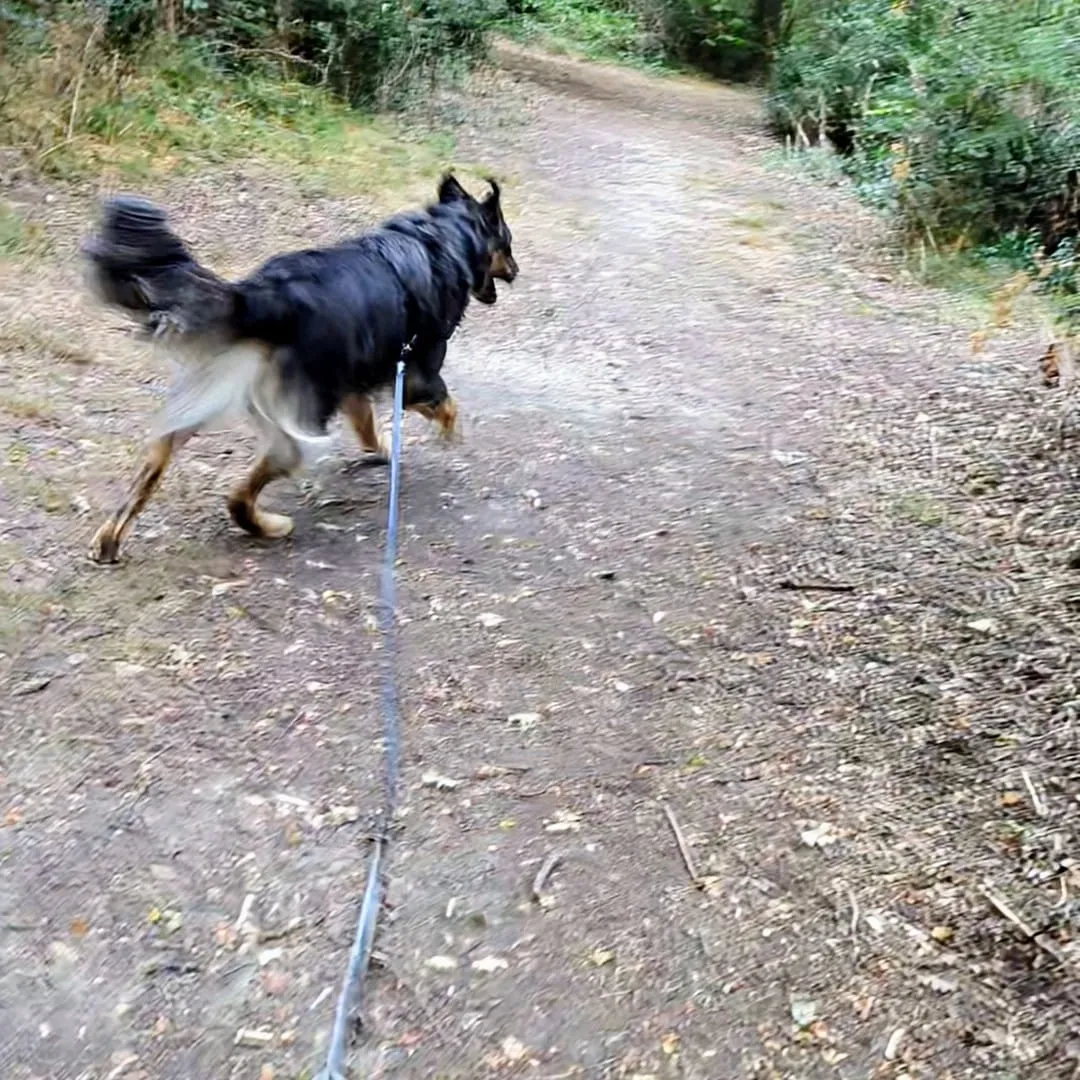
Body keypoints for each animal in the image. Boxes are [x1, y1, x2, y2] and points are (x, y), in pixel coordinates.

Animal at [84, 172, 514, 561]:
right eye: (507, 243)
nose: (517, 270)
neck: (443, 238)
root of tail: (262, 297)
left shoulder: (353, 380)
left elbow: (366, 423)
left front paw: (381, 452)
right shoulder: (415, 377)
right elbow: (448, 406)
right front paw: (448, 438)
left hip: (206, 395)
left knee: (153, 466)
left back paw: (108, 542)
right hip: (300, 426)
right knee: (239, 496)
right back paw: (269, 526)